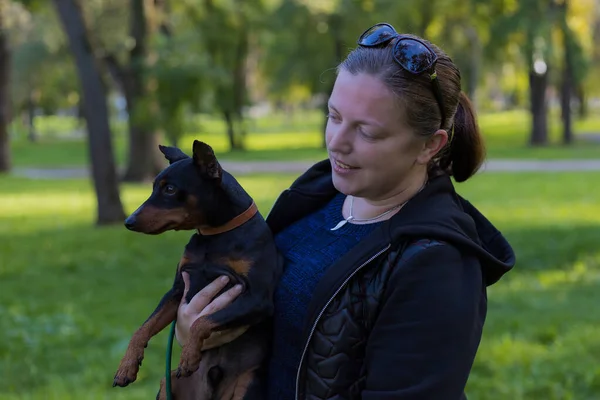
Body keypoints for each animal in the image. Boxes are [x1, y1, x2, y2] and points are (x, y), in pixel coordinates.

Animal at [113, 139, 282, 398]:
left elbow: (202, 321)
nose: (128, 222)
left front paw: (189, 356)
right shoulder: (177, 290)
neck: (215, 236)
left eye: (170, 189)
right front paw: (126, 366)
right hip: (167, 383)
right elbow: (143, 328)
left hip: (247, 385)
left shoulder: (258, 299)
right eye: (153, 188)